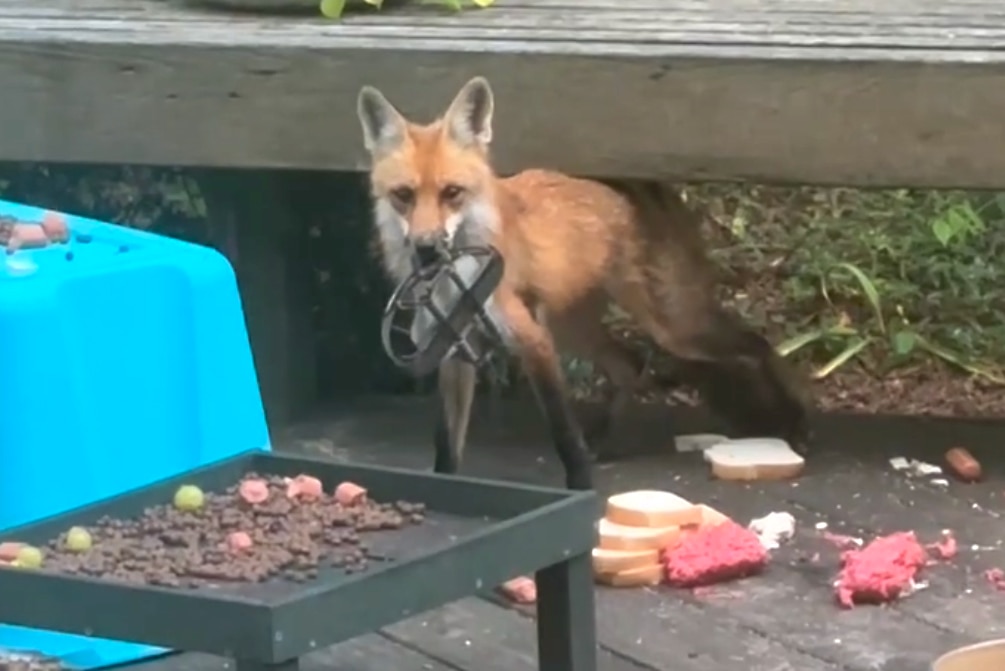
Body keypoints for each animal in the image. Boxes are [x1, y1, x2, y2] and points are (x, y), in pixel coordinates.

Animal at [356, 76, 812, 491]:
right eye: (403, 195)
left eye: (452, 193)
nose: (427, 248)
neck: (455, 282)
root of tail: (648, 186)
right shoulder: (454, 354)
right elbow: (447, 449)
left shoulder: (534, 342)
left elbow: (563, 433)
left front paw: (580, 488)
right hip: (573, 328)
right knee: (630, 365)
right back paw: (608, 440)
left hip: (675, 328)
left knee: (757, 347)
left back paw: (794, 421)